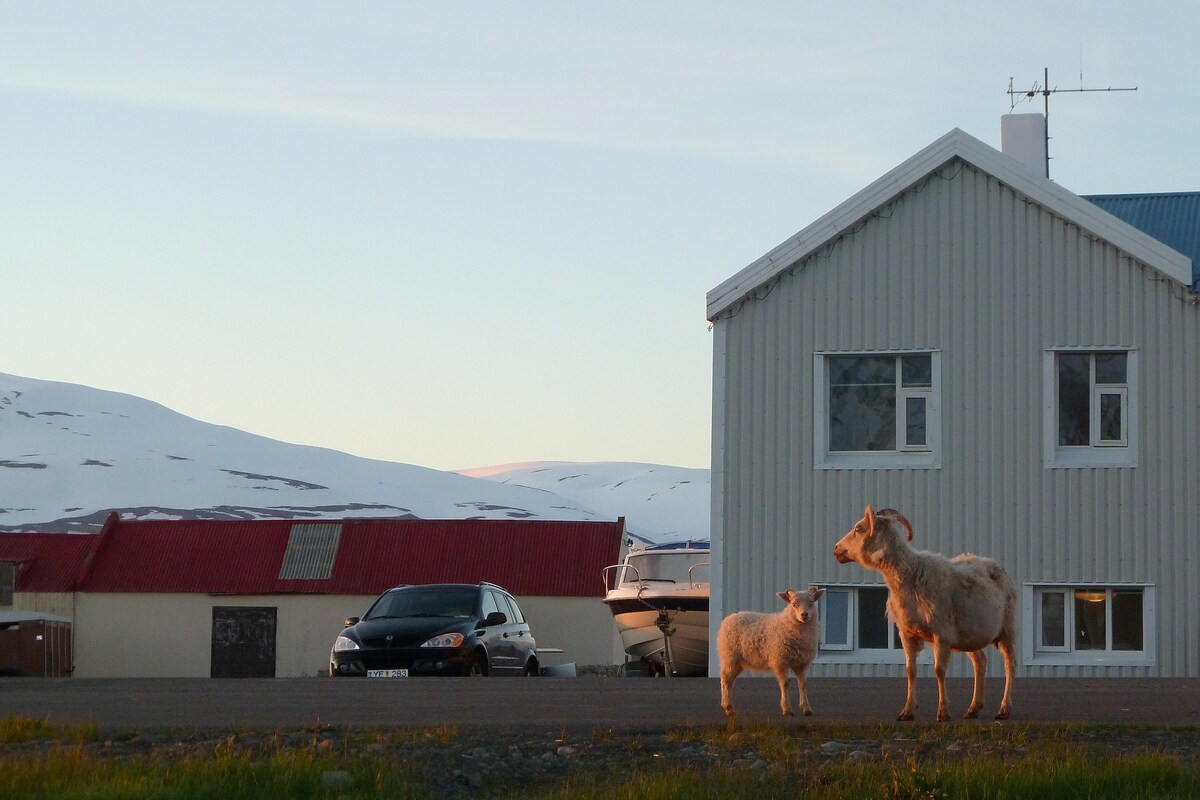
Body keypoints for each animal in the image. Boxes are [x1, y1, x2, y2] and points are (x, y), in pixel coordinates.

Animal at [710, 587, 825, 719]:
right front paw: (787, 709)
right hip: (729, 656)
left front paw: (807, 709)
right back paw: (728, 707)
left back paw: (729, 708)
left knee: (730, 681)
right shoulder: (780, 661)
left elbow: (803, 684)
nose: (804, 615)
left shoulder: (802, 663)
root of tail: (729, 617)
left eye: (811, 603)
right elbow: (785, 684)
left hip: (739, 662)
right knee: (725, 679)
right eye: (793, 604)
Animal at [840, 506, 1017, 724]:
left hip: (1007, 628)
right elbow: (910, 671)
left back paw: (1004, 709)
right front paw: (907, 711)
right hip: (968, 635)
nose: (836, 549)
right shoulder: (906, 633)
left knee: (1010, 665)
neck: (909, 574)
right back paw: (973, 709)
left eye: (859, 528)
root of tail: (992, 563)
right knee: (980, 662)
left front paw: (943, 712)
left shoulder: (941, 634)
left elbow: (939, 671)